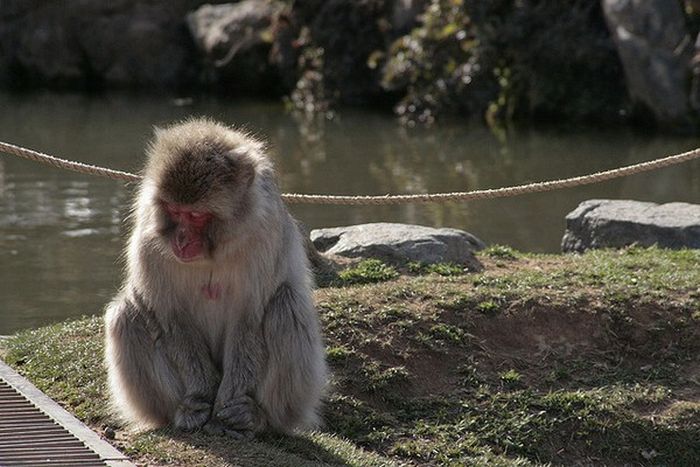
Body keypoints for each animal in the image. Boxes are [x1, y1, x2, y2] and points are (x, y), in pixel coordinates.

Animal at [104, 118, 328, 438]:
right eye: (174, 211)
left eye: (196, 215)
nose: (181, 240)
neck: (213, 250)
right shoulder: (149, 238)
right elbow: (172, 318)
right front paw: (201, 395)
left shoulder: (263, 233)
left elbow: (249, 318)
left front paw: (228, 405)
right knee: (128, 313)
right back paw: (180, 411)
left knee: (286, 307)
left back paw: (258, 417)